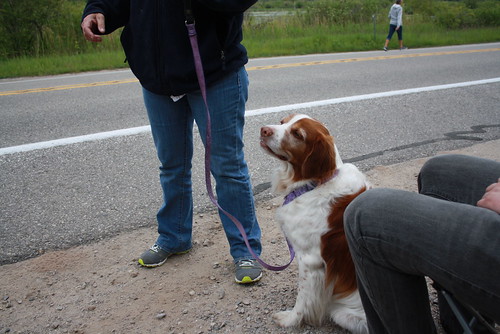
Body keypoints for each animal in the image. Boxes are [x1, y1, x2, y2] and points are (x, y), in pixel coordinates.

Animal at [260, 113, 370, 332]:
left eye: (297, 134)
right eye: (282, 122)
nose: (264, 130)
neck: (314, 184)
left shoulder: (310, 261)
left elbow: (302, 300)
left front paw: (290, 320)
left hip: (342, 313)